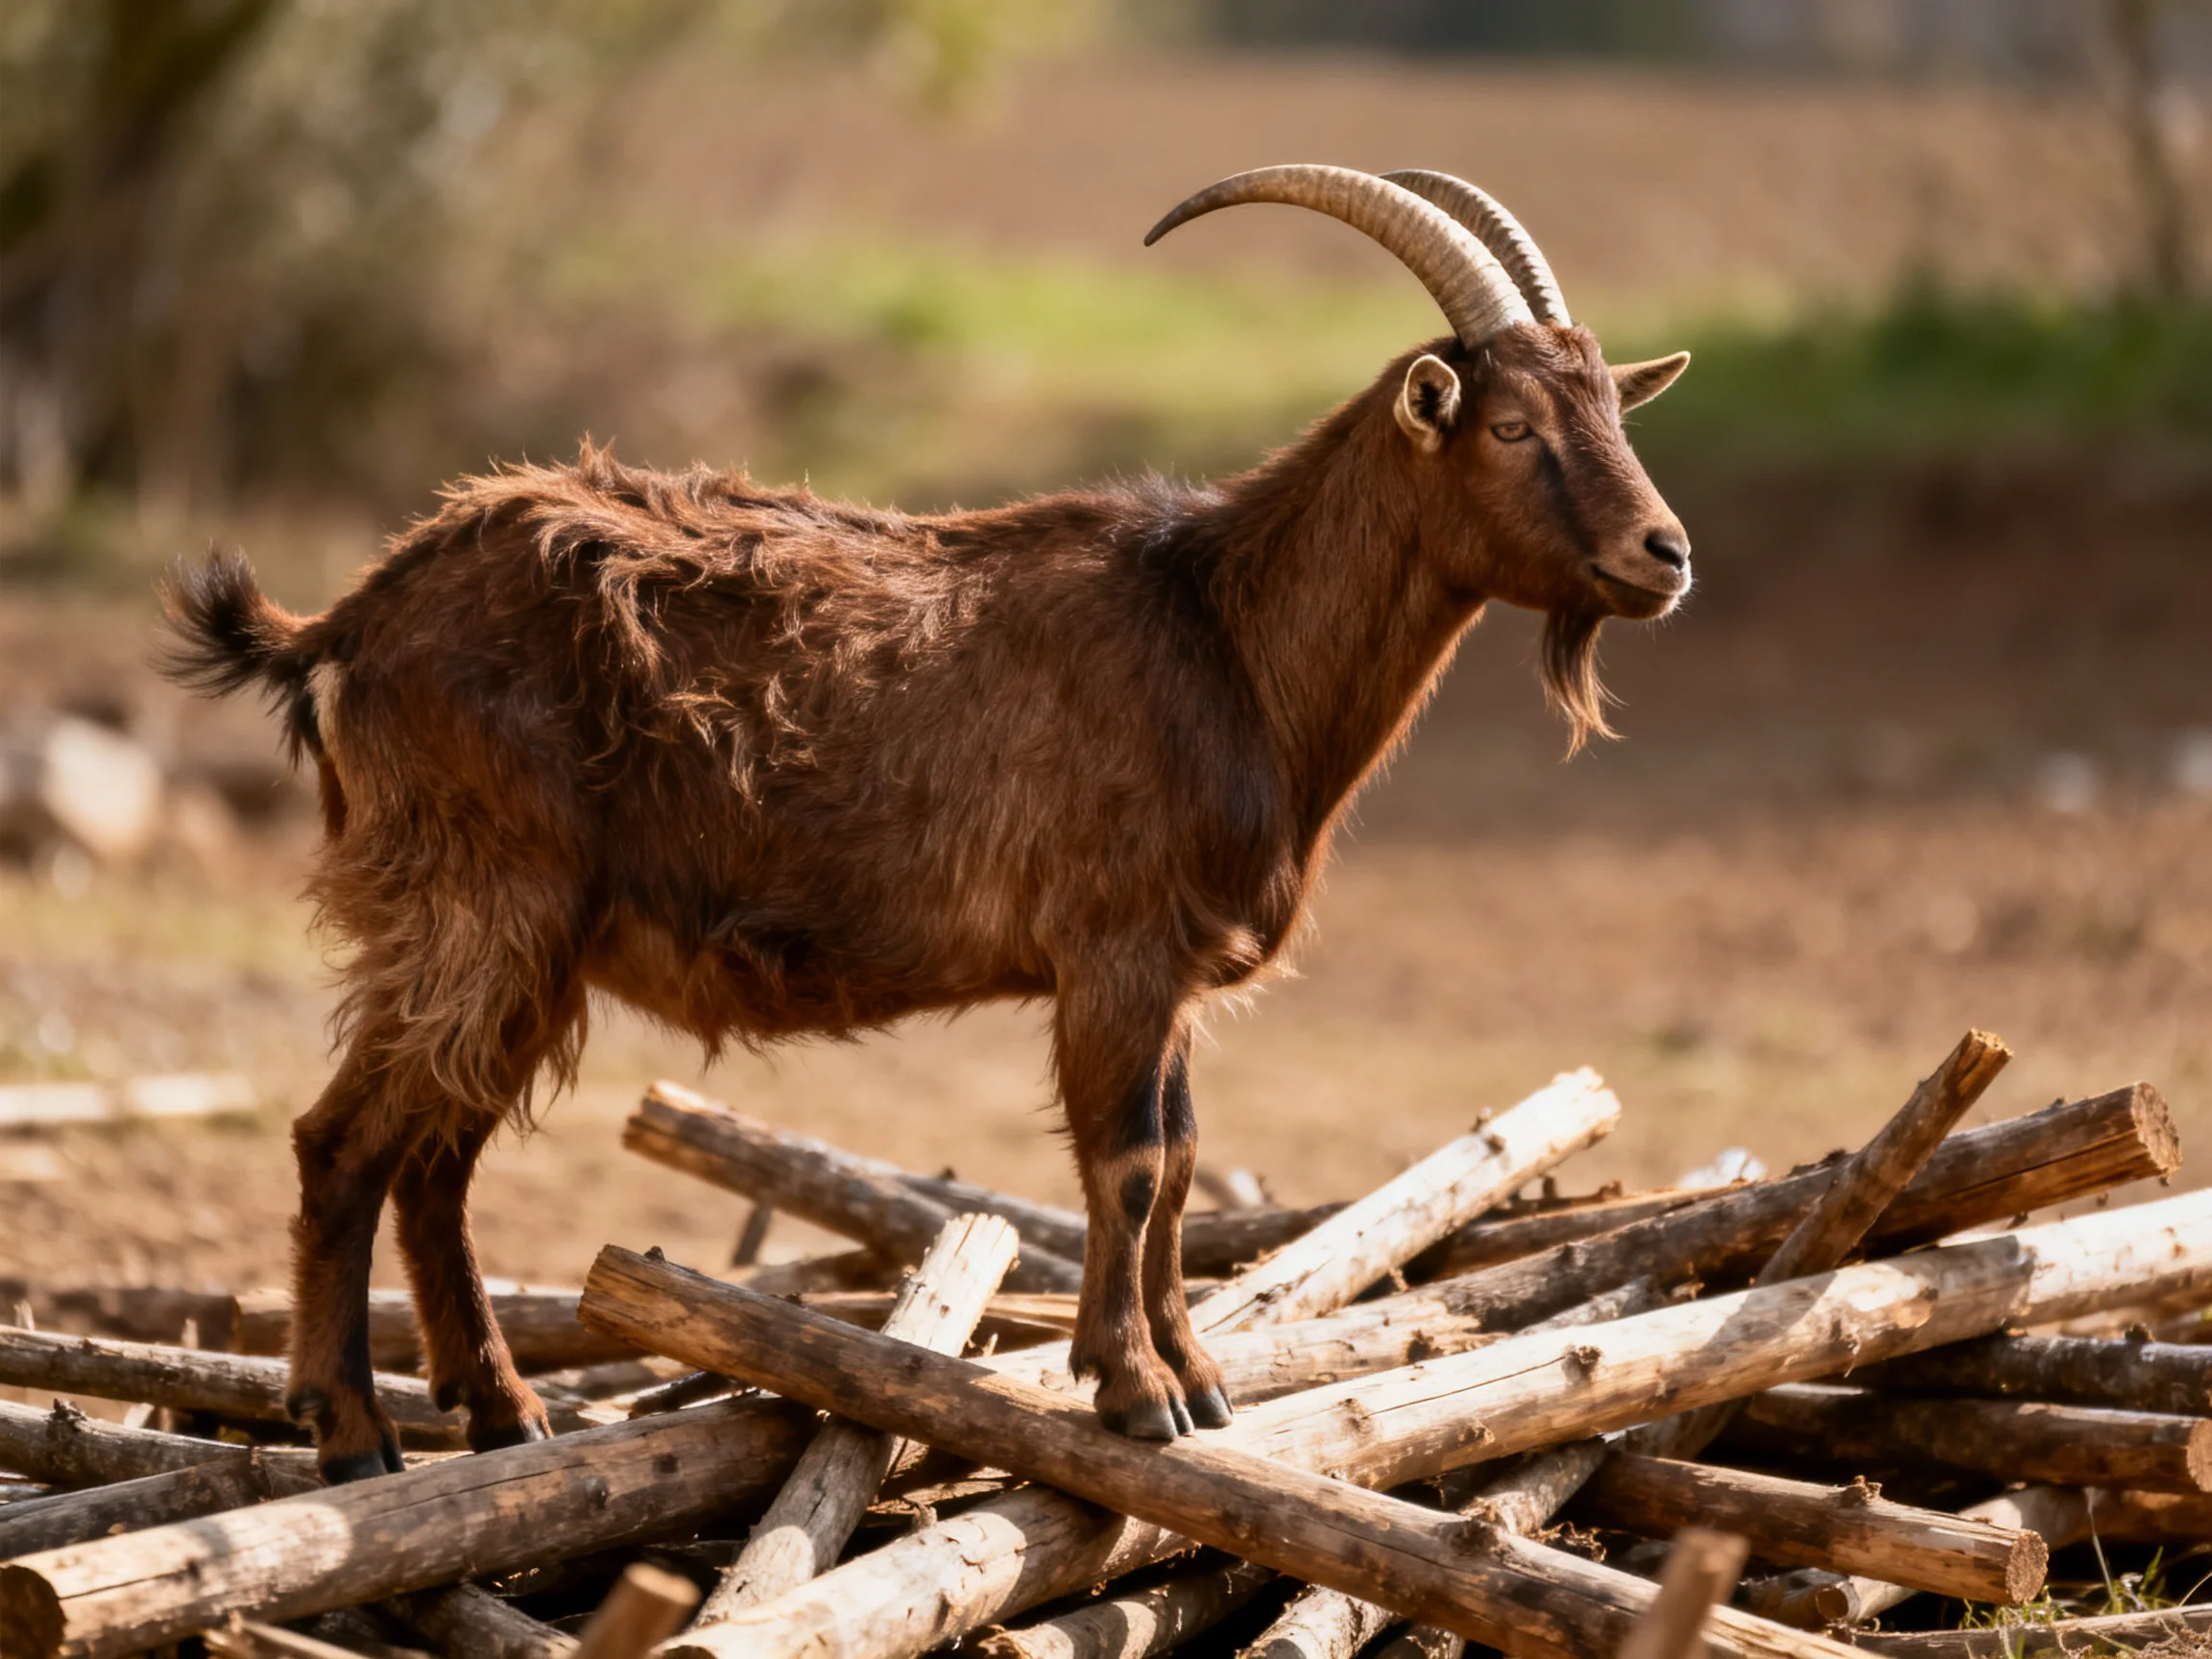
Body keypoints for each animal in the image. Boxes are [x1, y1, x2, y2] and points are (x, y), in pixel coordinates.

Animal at [162, 165, 1692, 1475]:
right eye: (1510, 425)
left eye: (1615, 413)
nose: (1665, 553)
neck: (1224, 632)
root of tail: (346, 623)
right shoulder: (1116, 950)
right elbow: (1132, 1164)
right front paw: (1134, 1394)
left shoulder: (1172, 970)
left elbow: (1187, 1160)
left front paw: (1200, 1381)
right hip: (478, 906)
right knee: (345, 1144)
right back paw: (352, 1431)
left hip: (530, 946)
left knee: (436, 1159)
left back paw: (503, 1415)